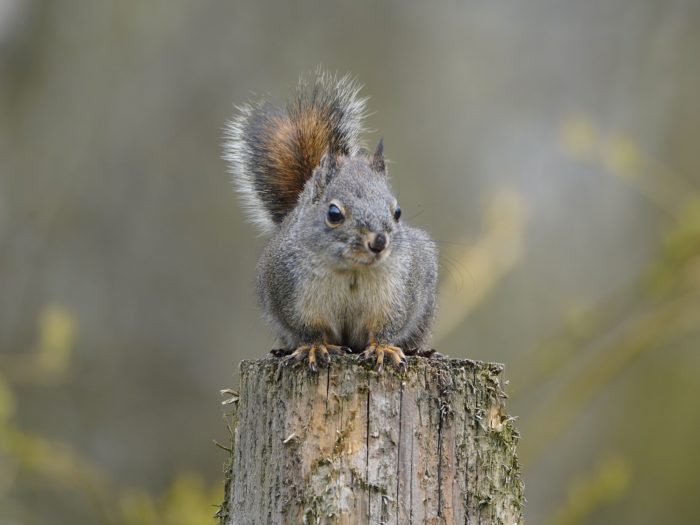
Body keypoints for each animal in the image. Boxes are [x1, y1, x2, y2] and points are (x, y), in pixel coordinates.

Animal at [224, 70, 438, 372]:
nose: (379, 242)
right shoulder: (292, 296)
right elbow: (309, 329)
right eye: (334, 214)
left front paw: (382, 348)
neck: (352, 271)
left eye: (397, 212)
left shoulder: (398, 293)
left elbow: (386, 327)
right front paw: (315, 347)